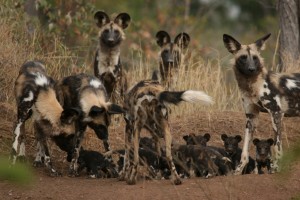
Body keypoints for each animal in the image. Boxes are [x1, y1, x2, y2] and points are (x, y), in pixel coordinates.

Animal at [223, 33, 300, 176]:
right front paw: (239, 170)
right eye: (243, 58)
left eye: (255, 58)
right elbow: (245, 150)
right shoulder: (251, 117)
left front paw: (275, 169)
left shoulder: (276, 114)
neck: (253, 86)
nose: (251, 69)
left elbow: (277, 147)